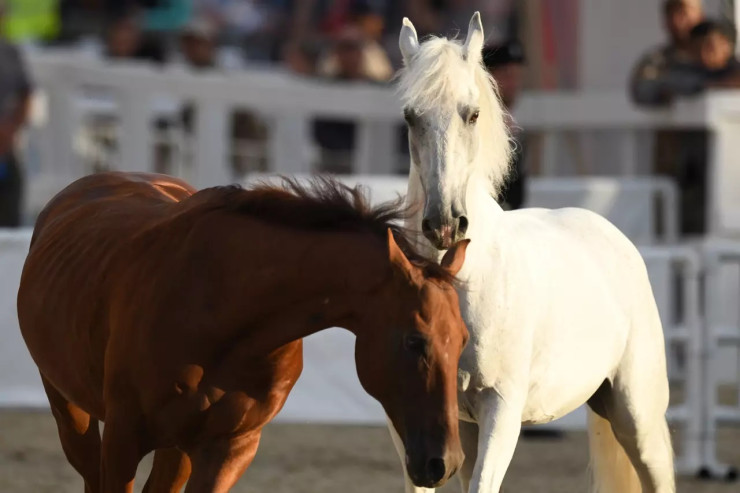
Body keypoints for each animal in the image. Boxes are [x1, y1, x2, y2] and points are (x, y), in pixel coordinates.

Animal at [15, 171, 468, 490]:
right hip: (69, 409)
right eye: (414, 340)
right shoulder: (123, 440)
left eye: (463, 340)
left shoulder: (229, 449)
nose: (444, 462)